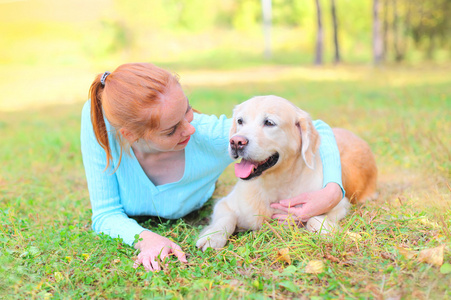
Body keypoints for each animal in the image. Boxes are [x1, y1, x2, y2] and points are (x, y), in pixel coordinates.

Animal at [198, 95, 378, 250]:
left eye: (269, 122)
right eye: (240, 121)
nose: (236, 142)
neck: (275, 185)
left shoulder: (340, 204)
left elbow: (314, 218)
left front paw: (326, 231)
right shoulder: (224, 204)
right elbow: (226, 218)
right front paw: (212, 236)